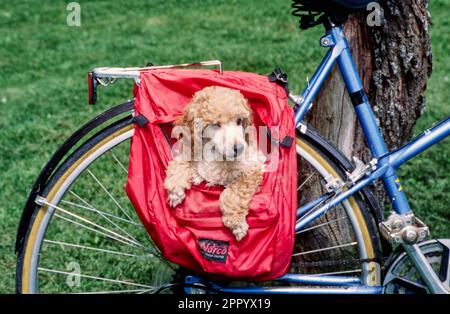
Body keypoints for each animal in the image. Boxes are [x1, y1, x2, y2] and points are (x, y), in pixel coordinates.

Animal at [164, 86, 264, 240]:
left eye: (239, 121)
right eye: (216, 125)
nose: (239, 148)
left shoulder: (254, 167)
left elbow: (233, 193)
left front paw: (236, 223)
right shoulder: (189, 150)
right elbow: (179, 163)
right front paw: (175, 190)